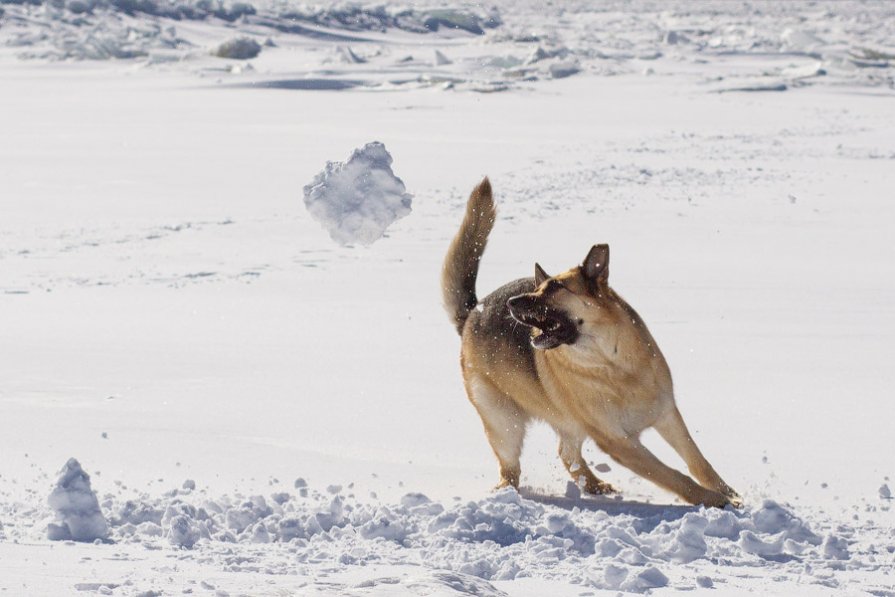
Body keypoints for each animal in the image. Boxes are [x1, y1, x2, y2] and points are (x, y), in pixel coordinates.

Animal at [442, 178, 744, 508]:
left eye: (554, 287)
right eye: (539, 287)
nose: (511, 303)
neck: (611, 363)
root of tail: (474, 311)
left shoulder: (667, 415)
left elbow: (697, 461)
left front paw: (728, 492)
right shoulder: (620, 443)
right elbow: (673, 476)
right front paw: (714, 500)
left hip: (566, 422)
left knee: (566, 453)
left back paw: (595, 485)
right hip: (504, 423)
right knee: (511, 469)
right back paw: (512, 496)